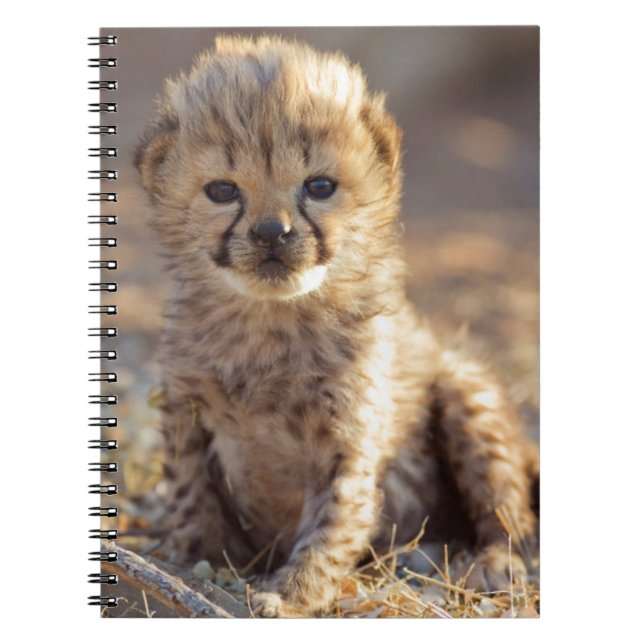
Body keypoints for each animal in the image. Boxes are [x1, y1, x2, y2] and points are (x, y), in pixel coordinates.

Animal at [134, 34, 539, 617]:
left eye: (319, 186)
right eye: (222, 191)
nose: (272, 233)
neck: (271, 322)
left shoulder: (348, 438)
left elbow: (334, 521)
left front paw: (289, 594)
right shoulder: (185, 409)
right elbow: (191, 498)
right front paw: (197, 564)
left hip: (468, 393)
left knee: (508, 509)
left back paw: (487, 563)